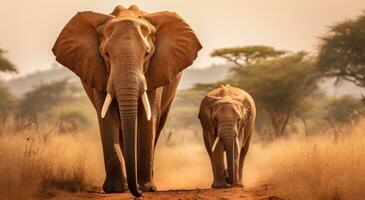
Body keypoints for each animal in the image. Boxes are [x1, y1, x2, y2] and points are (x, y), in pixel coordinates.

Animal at [52, 5, 202, 197]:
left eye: (147, 54)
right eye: (106, 54)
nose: (138, 193)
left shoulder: (155, 71)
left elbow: (148, 119)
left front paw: (147, 188)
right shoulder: (99, 72)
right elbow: (107, 117)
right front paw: (115, 189)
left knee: (158, 126)